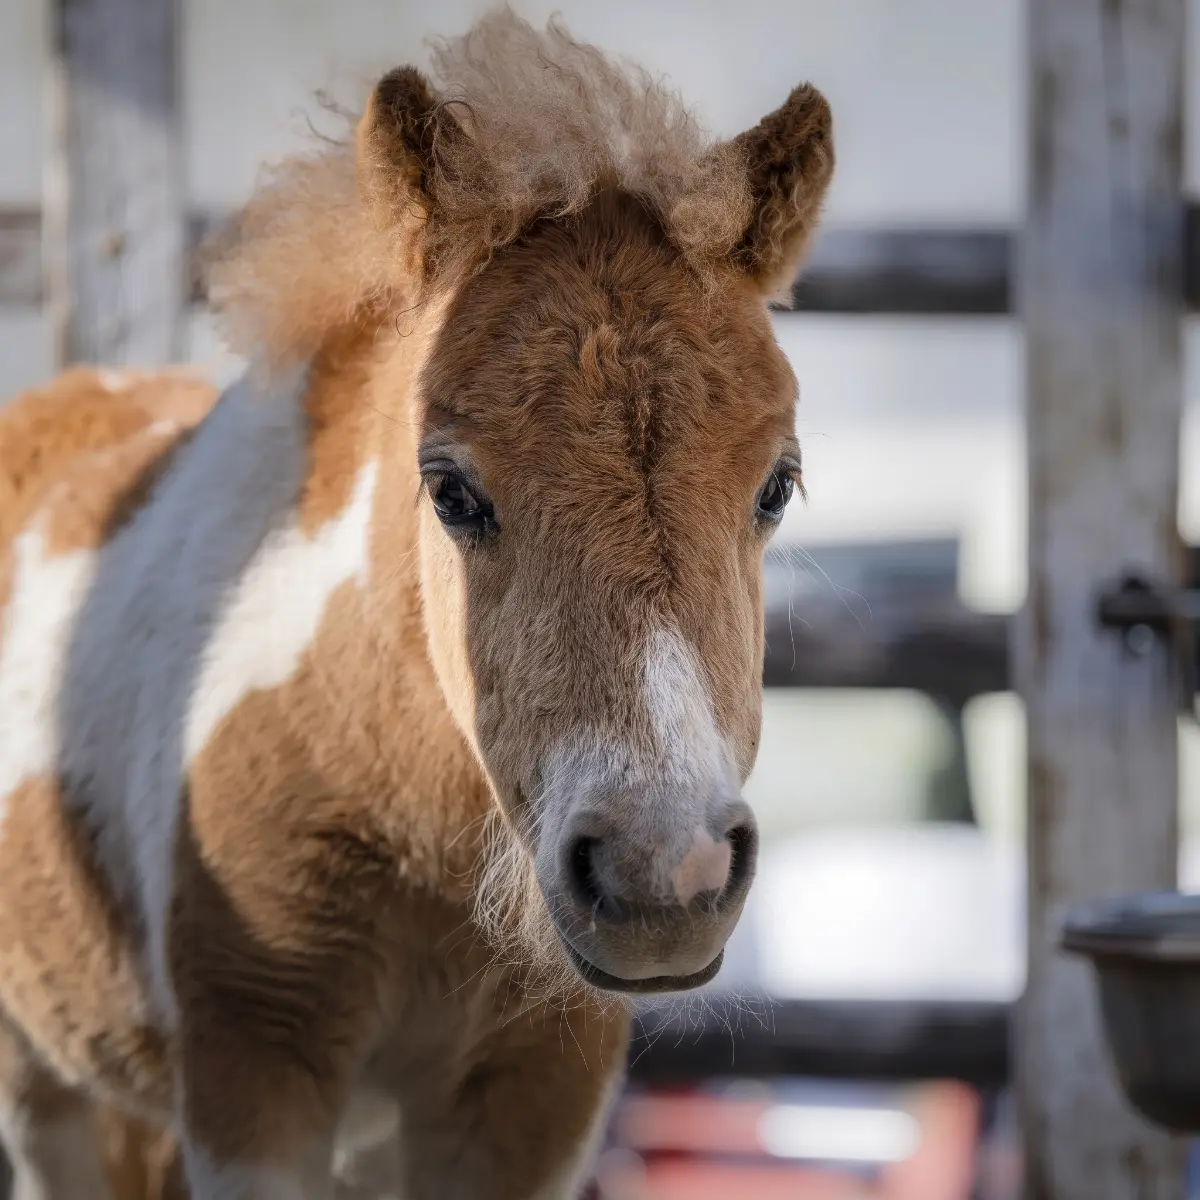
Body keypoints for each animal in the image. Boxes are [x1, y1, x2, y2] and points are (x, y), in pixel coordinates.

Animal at [0, 11, 834, 1198]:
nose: (661, 875)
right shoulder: (254, 1078)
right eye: (450, 490)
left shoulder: (541, 1098)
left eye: (776, 484)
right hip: (48, 1090)